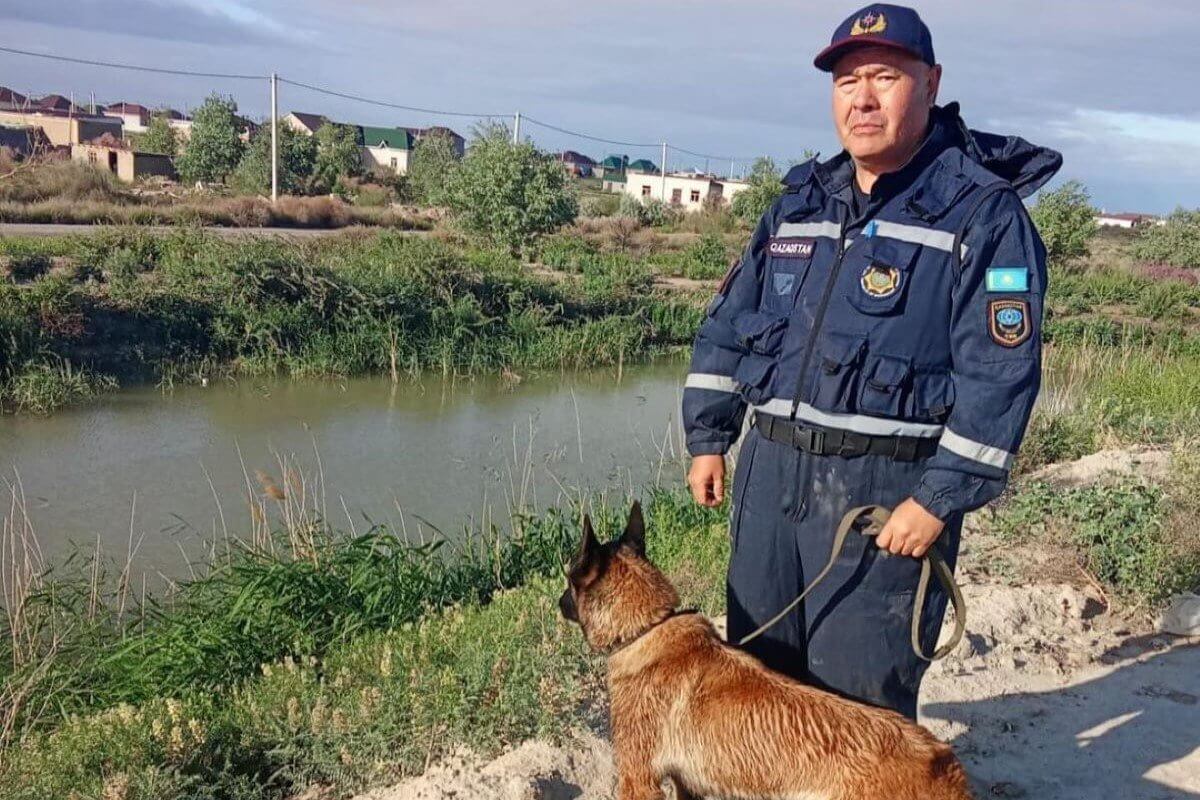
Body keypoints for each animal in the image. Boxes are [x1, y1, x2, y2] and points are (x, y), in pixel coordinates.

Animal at [556, 503, 969, 800]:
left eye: (568, 579)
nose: (558, 604)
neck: (647, 627)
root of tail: (942, 763)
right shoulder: (686, 785)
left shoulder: (638, 780)